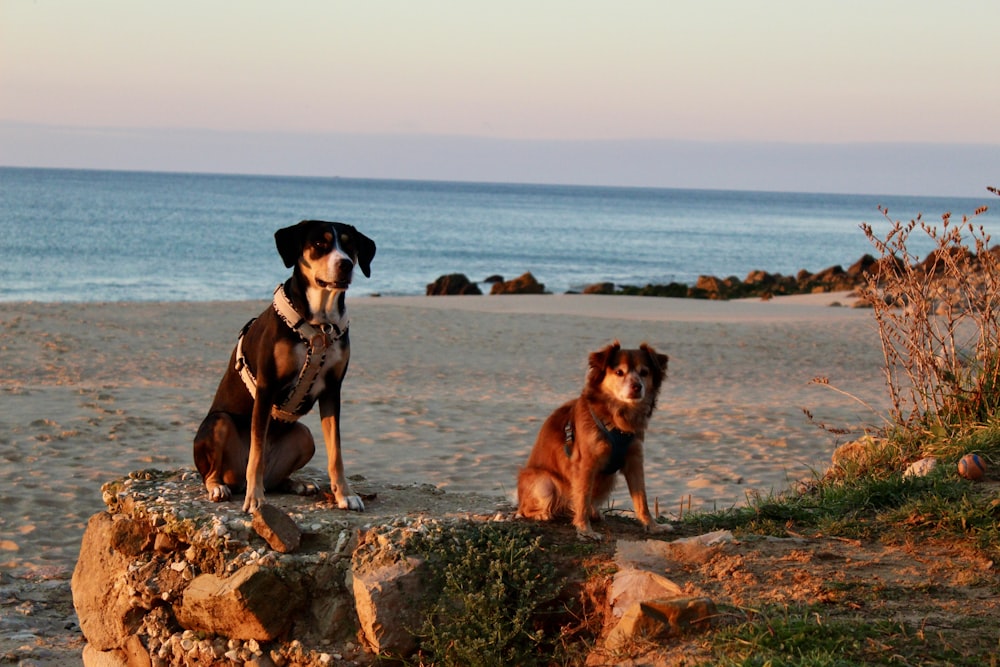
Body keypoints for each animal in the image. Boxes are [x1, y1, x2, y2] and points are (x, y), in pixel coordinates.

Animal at [191, 219, 376, 512]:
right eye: (320, 243)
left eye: (350, 246)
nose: (346, 264)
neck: (320, 325)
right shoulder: (267, 387)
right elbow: (256, 453)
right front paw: (255, 499)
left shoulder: (333, 389)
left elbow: (336, 453)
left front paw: (345, 494)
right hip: (219, 422)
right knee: (213, 472)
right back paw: (220, 486)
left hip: (304, 436)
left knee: (277, 477)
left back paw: (296, 484)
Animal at [516, 342, 672, 540]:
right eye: (619, 372)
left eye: (644, 372)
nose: (637, 386)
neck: (617, 418)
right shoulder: (585, 464)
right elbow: (582, 498)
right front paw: (585, 530)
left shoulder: (634, 460)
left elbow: (642, 499)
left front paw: (653, 526)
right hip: (544, 482)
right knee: (527, 509)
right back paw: (543, 514)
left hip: (609, 479)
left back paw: (594, 513)